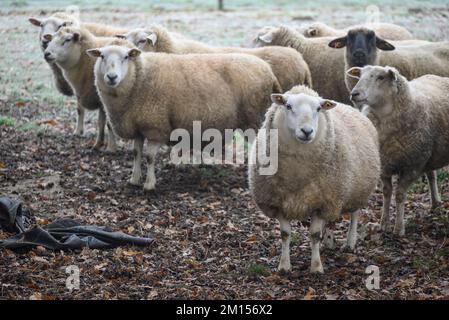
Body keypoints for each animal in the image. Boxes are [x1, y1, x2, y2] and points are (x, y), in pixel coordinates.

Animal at [87, 40, 280, 190]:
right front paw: (134, 179)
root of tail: (269, 71)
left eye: (126, 57)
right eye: (102, 56)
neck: (139, 79)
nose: (112, 77)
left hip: (255, 117)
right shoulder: (138, 127)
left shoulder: (156, 127)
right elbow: (136, 153)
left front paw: (149, 184)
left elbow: (149, 157)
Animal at [247, 85, 380, 272]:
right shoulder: (279, 202)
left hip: (357, 189)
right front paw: (284, 266)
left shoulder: (322, 203)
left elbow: (314, 235)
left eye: (318, 109)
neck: (297, 171)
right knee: (331, 220)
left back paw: (350, 243)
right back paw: (328, 242)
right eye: (288, 106)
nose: (307, 131)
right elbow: (285, 234)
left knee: (354, 215)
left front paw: (316, 267)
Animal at [348, 66, 448, 236]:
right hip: (429, 152)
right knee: (431, 175)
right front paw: (384, 223)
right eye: (359, 75)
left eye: (381, 77)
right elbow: (387, 193)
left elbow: (400, 195)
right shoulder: (384, 165)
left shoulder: (413, 166)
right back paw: (435, 202)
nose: (354, 93)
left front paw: (399, 228)